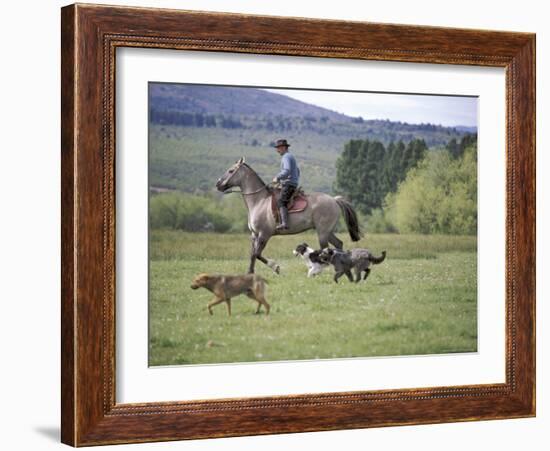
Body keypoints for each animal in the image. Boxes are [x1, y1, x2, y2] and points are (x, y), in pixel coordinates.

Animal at [217, 157, 366, 274]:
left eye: (231, 171)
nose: (218, 184)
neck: (259, 201)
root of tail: (334, 200)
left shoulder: (264, 234)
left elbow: (257, 254)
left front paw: (276, 267)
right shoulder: (254, 235)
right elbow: (252, 255)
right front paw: (250, 273)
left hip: (323, 232)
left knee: (326, 249)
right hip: (327, 231)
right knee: (338, 244)